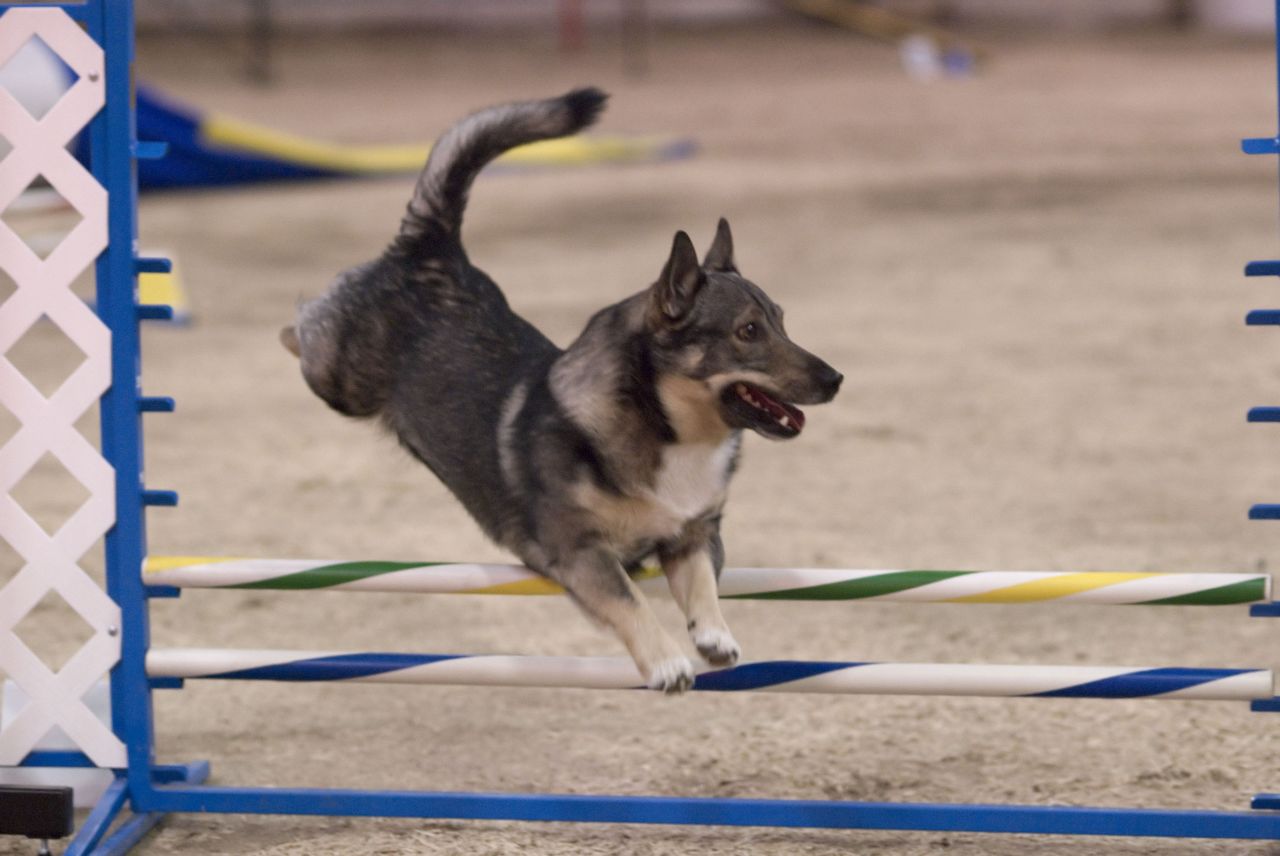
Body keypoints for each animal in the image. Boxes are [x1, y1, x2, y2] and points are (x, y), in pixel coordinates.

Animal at [280, 87, 839, 690]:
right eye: (749, 332)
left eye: (782, 321)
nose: (836, 380)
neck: (668, 430)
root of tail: (430, 248)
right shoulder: (577, 551)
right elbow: (628, 601)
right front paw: (667, 661)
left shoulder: (692, 535)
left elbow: (702, 586)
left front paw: (714, 637)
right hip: (338, 379)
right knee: (304, 323)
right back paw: (290, 323)